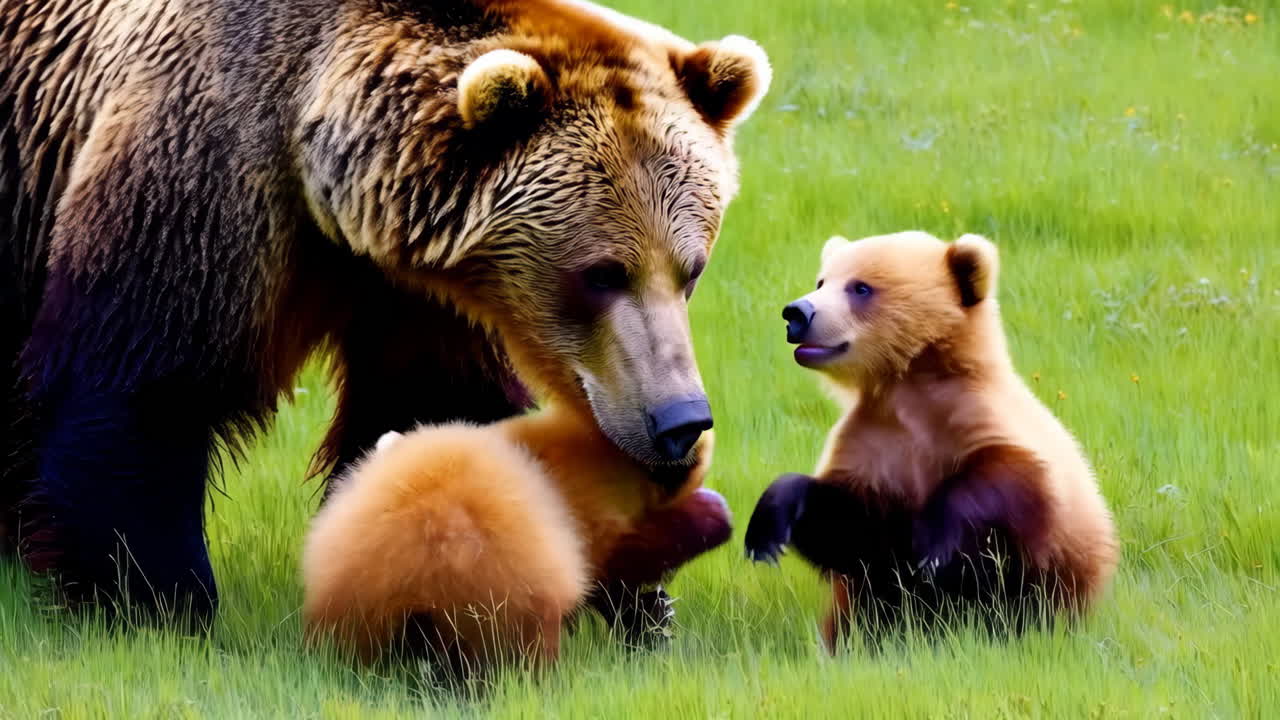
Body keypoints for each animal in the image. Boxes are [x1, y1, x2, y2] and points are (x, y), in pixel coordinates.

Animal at [0, 0, 770, 625]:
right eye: (602, 274)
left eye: (691, 270)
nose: (681, 421)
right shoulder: (207, 166)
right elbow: (147, 383)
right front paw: (158, 598)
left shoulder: (427, 289)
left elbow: (427, 406)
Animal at [744, 231, 1118, 650]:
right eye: (822, 280)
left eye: (861, 287)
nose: (797, 313)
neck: (909, 385)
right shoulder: (874, 445)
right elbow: (851, 526)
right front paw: (767, 527)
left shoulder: (982, 426)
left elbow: (1001, 485)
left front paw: (934, 549)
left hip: (1054, 593)